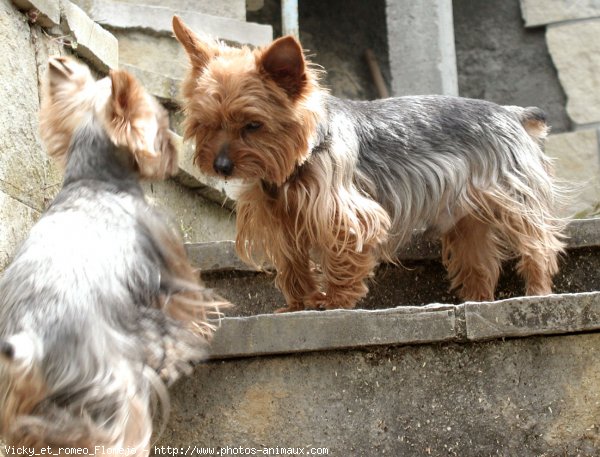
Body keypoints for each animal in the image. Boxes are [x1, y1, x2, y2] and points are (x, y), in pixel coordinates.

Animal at [0, 56, 227, 448]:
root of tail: (30, 338)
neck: (94, 177)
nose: (173, 148)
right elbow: (185, 301)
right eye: (160, 123)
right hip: (109, 377)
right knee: (122, 424)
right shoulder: (165, 253)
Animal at [172, 16, 568, 312]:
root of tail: (511, 112)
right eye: (206, 124)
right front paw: (298, 303)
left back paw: (537, 292)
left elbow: (341, 254)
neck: (294, 164)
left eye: (253, 125)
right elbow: (292, 264)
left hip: (512, 195)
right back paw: (478, 301)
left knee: (537, 243)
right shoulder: (281, 218)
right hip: (467, 215)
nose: (221, 166)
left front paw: (334, 300)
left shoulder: (342, 210)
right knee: (480, 261)